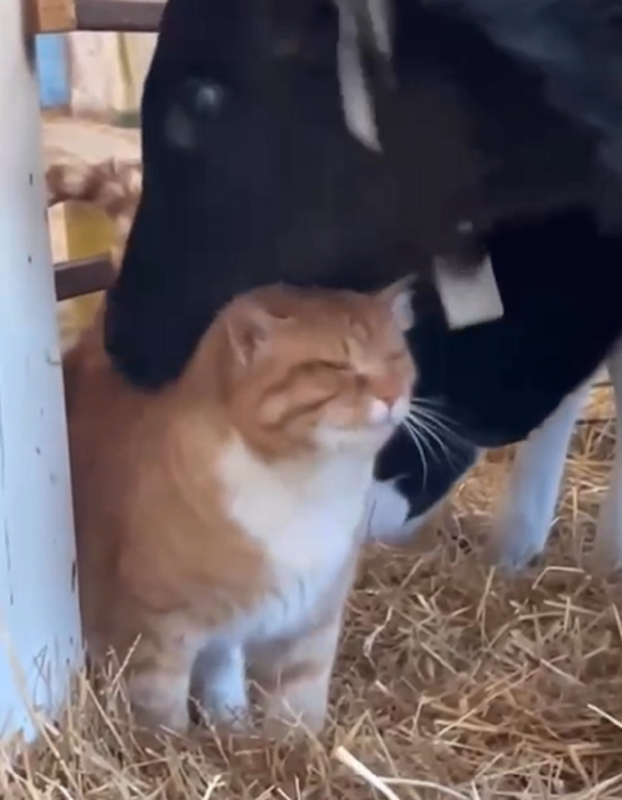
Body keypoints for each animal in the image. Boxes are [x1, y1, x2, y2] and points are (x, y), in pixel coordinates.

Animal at [66, 278, 416, 736]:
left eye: (395, 356)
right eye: (334, 366)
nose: (392, 393)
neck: (311, 488)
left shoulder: (309, 627)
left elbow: (298, 708)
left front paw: (294, 746)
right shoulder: (154, 632)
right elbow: (160, 713)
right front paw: (172, 748)